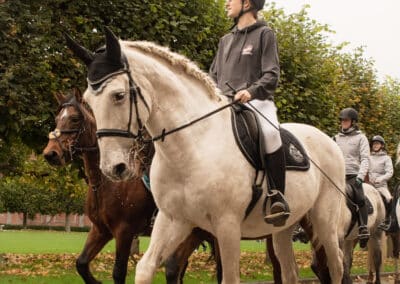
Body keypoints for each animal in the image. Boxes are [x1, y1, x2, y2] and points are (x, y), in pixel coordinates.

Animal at [67, 27, 346, 282]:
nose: (113, 168)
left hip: (322, 221)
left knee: (336, 265)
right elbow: (145, 269)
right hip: (283, 228)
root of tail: (328, 141)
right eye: (88, 102)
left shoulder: (227, 226)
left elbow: (229, 277)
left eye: (119, 95)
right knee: (290, 271)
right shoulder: (174, 220)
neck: (192, 147)